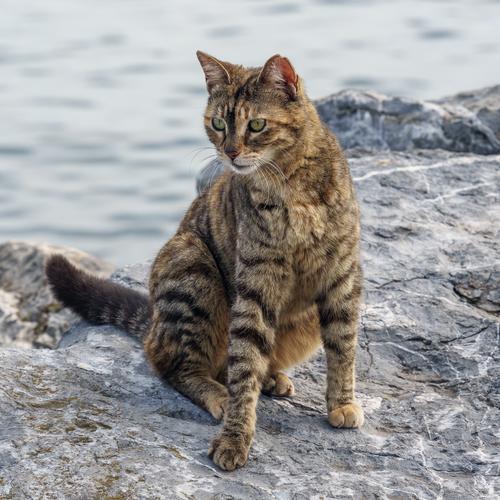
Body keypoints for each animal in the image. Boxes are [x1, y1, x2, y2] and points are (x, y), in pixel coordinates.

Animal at [47, 52, 366, 470]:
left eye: (256, 125)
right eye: (217, 123)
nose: (229, 152)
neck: (289, 182)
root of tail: (153, 324)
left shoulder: (342, 277)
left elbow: (344, 348)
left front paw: (342, 403)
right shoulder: (255, 285)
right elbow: (244, 365)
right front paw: (235, 437)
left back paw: (270, 378)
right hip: (191, 268)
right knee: (175, 364)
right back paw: (219, 393)